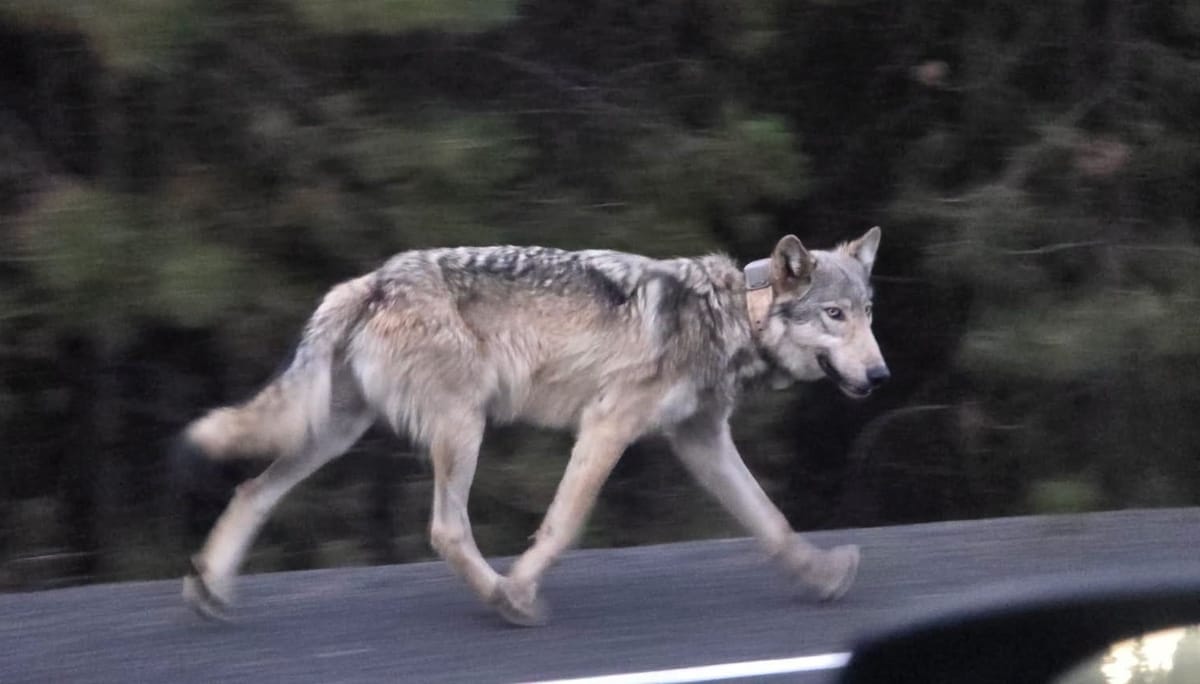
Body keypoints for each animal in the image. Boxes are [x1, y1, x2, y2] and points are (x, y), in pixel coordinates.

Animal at [176, 227, 889, 626]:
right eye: (834, 315)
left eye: (868, 314)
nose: (882, 374)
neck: (733, 312)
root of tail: (370, 280)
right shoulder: (607, 425)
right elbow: (563, 525)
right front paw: (520, 587)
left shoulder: (702, 441)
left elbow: (772, 522)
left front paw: (823, 576)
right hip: (462, 426)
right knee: (445, 530)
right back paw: (503, 598)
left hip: (337, 432)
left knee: (252, 491)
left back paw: (209, 586)